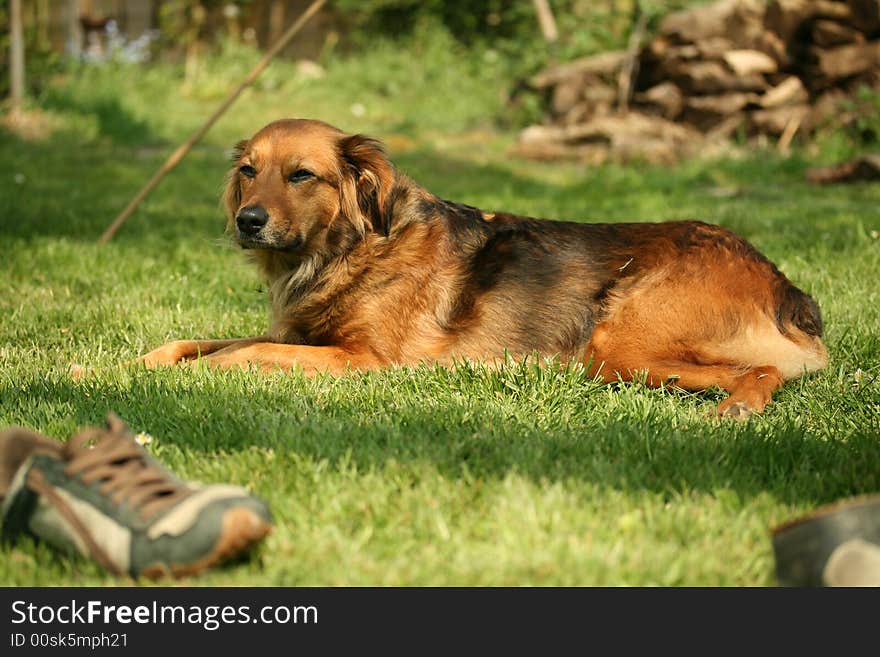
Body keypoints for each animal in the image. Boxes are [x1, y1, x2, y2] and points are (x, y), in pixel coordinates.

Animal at [141, 118, 828, 416]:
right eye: (248, 170)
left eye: (301, 175)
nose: (247, 221)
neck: (345, 253)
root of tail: (778, 281)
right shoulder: (299, 335)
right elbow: (196, 342)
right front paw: (132, 363)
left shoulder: (362, 360)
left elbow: (242, 353)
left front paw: (190, 377)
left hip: (617, 345)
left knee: (763, 371)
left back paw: (736, 410)